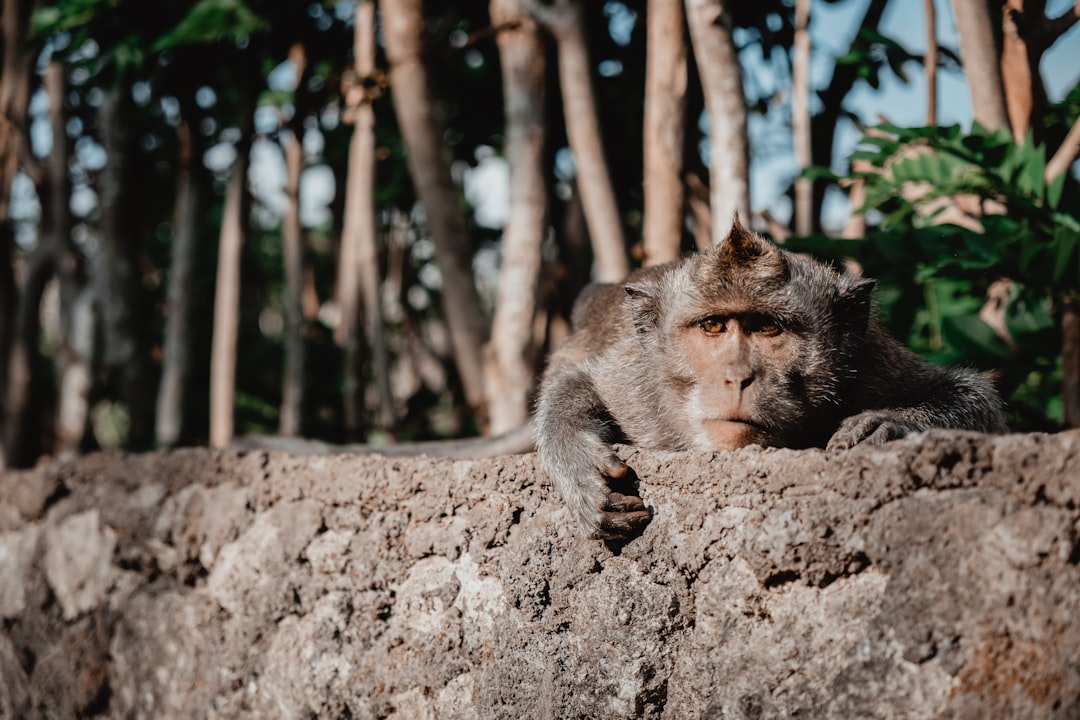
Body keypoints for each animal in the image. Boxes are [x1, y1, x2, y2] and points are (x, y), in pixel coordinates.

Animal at [535, 216, 1006, 537]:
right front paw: (581, 465)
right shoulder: (637, 382)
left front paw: (888, 425)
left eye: (766, 327)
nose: (738, 377)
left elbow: (970, 394)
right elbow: (581, 381)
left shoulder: (869, 363)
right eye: (713, 326)